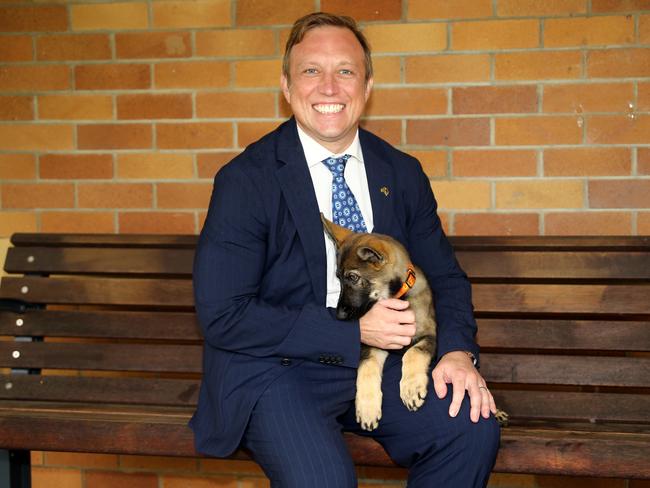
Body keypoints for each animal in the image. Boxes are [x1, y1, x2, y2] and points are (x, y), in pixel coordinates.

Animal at [320, 216, 436, 430]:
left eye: (353, 277)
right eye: (338, 278)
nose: (339, 315)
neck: (396, 297)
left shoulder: (429, 335)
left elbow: (414, 352)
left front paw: (411, 386)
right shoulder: (374, 343)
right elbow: (367, 367)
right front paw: (367, 407)